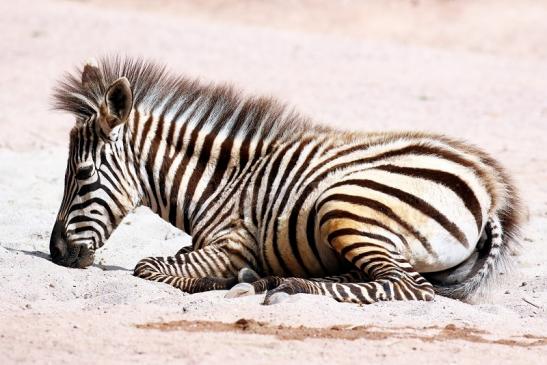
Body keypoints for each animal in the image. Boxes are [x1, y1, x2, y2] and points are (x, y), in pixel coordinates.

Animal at [50, 57, 524, 304]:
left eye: (83, 174)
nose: (55, 253)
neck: (220, 183)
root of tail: (490, 194)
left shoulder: (233, 243)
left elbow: (148, 266)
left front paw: (219, 280)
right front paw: (240, 277)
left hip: (345, 204)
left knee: (409, 287)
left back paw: (285, 285)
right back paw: (271, 280)